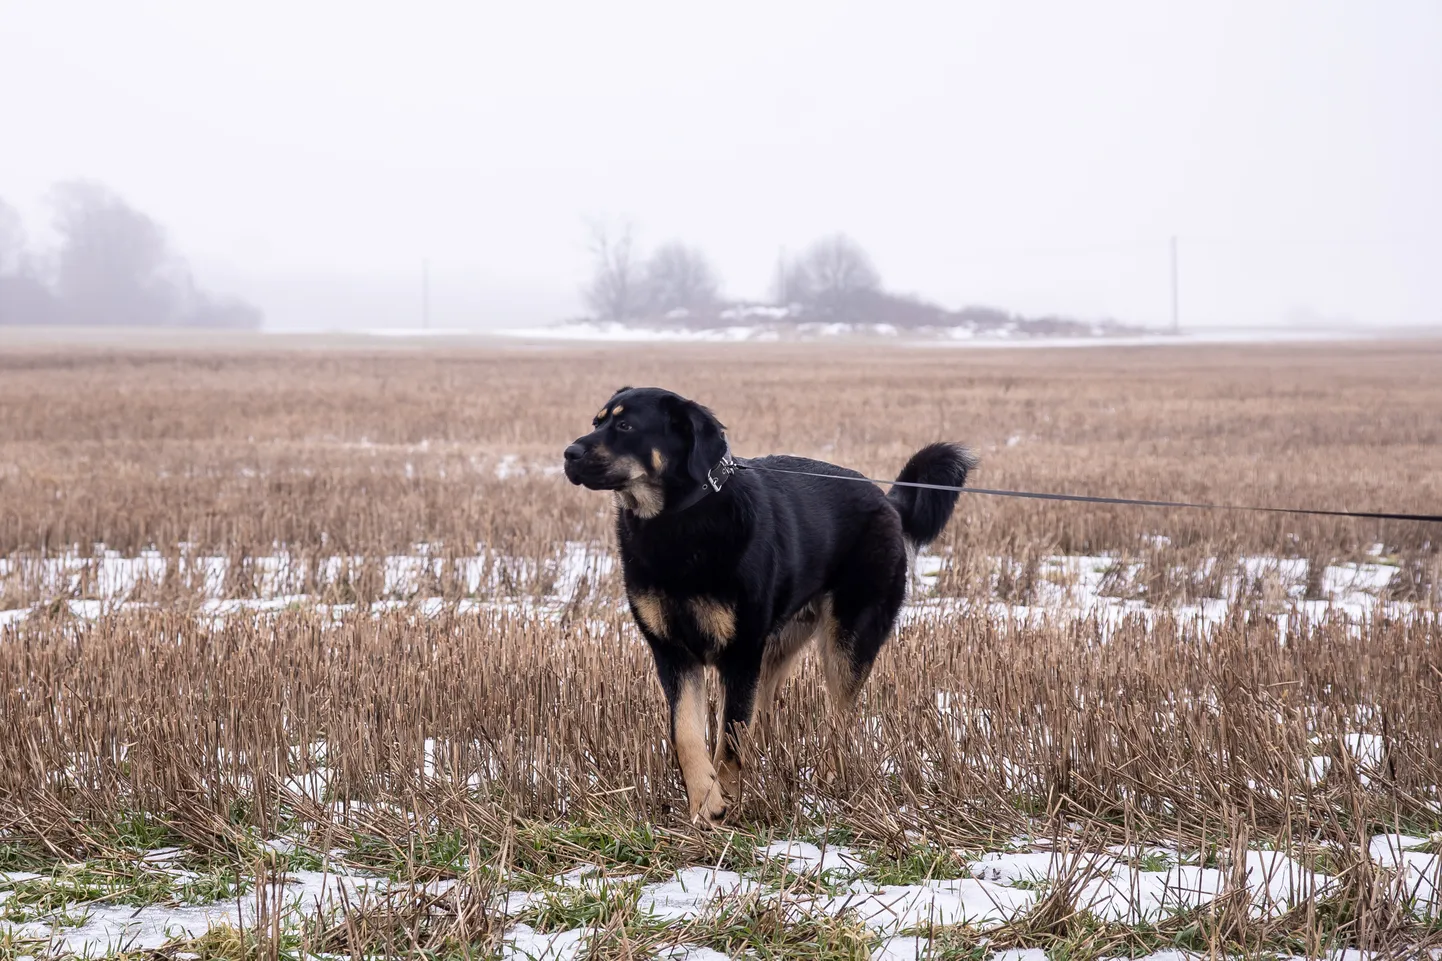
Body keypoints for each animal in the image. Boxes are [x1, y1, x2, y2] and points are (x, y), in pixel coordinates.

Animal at [562, 386, 980, 819]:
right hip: (777, 644)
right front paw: (704, 803)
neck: (676, 520)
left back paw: (828, 779)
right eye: (597, 422)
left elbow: (730, 737)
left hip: (848, 638)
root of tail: (888, 501)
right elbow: (686, 734)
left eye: (626, 426)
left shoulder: (740, 653)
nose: (569, 454)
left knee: (840, 717)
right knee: (763, 714)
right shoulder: (673, 653)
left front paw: (725, 800)